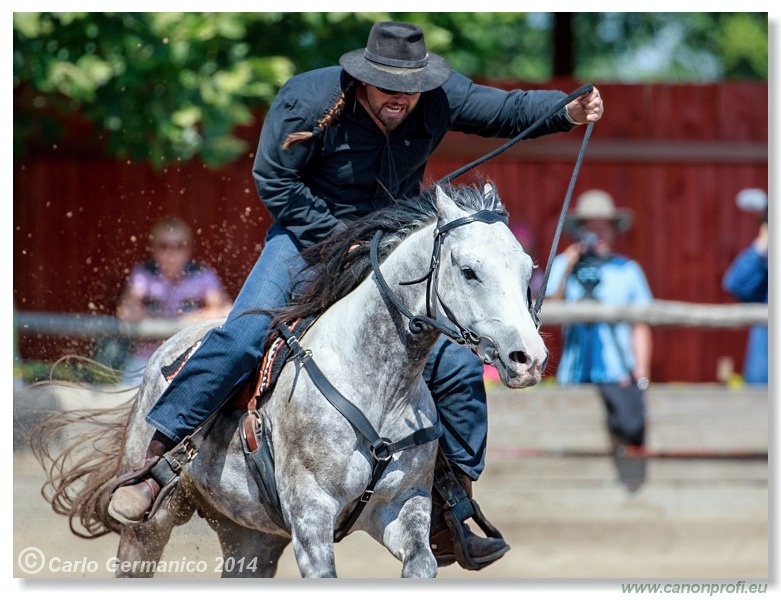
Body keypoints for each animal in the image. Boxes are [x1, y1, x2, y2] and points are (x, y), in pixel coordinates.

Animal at [33, 183, 544, 576]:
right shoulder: (311, 519)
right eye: (469, 270)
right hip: (148, 531)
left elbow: (420, 562)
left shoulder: (405, 509)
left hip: (250, 539)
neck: (377, 386)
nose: (529, 358)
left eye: (528, 270)